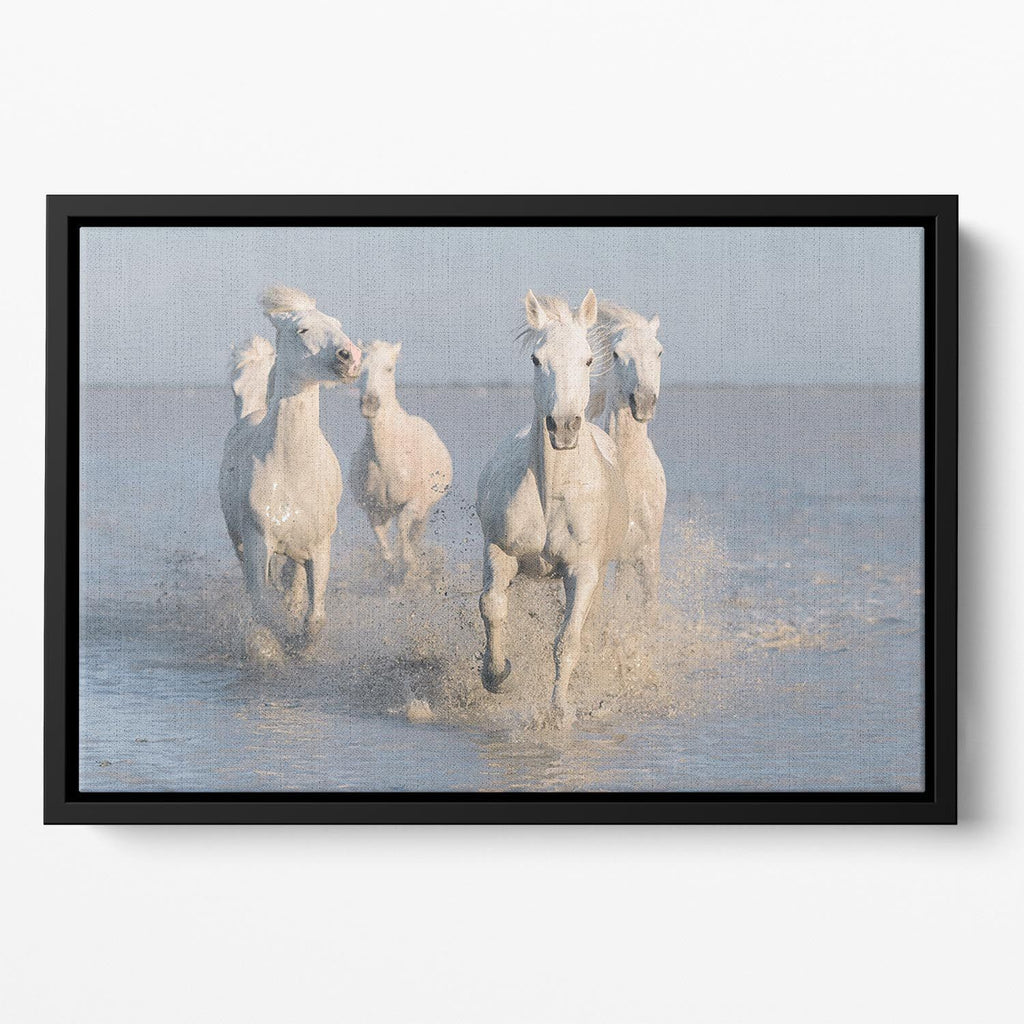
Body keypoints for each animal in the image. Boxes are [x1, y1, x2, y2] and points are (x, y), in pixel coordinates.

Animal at [219, 286, 362, 661]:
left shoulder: (319, 548)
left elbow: (314, 616)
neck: (292, 469)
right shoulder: (257, 544)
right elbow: (263, 609)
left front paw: (301, 646)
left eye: (337, 323)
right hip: (239, 541)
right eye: (302, 329)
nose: (351, 357)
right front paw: (276, 645)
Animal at [349, 340, 453, 577]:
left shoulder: (416, 502)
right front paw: (393, 570)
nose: (369, 404)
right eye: (360, 369)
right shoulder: (375, 509)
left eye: (389, 368)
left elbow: (405, 531)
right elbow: (385, 549)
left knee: (415, 531)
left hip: (425, 508)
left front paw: (411, 567)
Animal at [476, 290, 628, 727]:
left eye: (588, 360)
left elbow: (567, 641)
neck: (553, 495)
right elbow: (492, 607)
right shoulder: (500, 551)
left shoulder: (583, 570)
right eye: (536, 359)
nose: (562, 427)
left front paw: (559, 711)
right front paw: (497, 674)